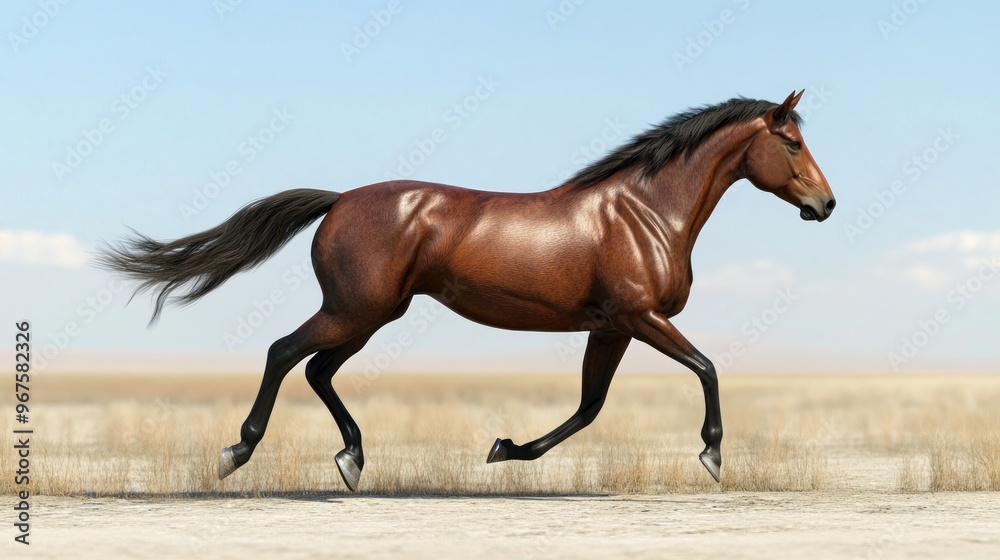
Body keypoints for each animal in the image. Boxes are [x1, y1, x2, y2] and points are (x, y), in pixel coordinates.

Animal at [99, 91, 835, 492]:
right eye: (792, 145)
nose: (825, 205)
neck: (646, 212)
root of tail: (339, 200)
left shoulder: (611, 326)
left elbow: (589, 406)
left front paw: (506, 449)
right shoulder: (639, 316)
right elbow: (706, 368)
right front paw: (712, 454)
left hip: (371, 315)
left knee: (317, 370)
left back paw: (352, 458)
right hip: (354, 310)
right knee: (285, 353)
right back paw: (238, 452)